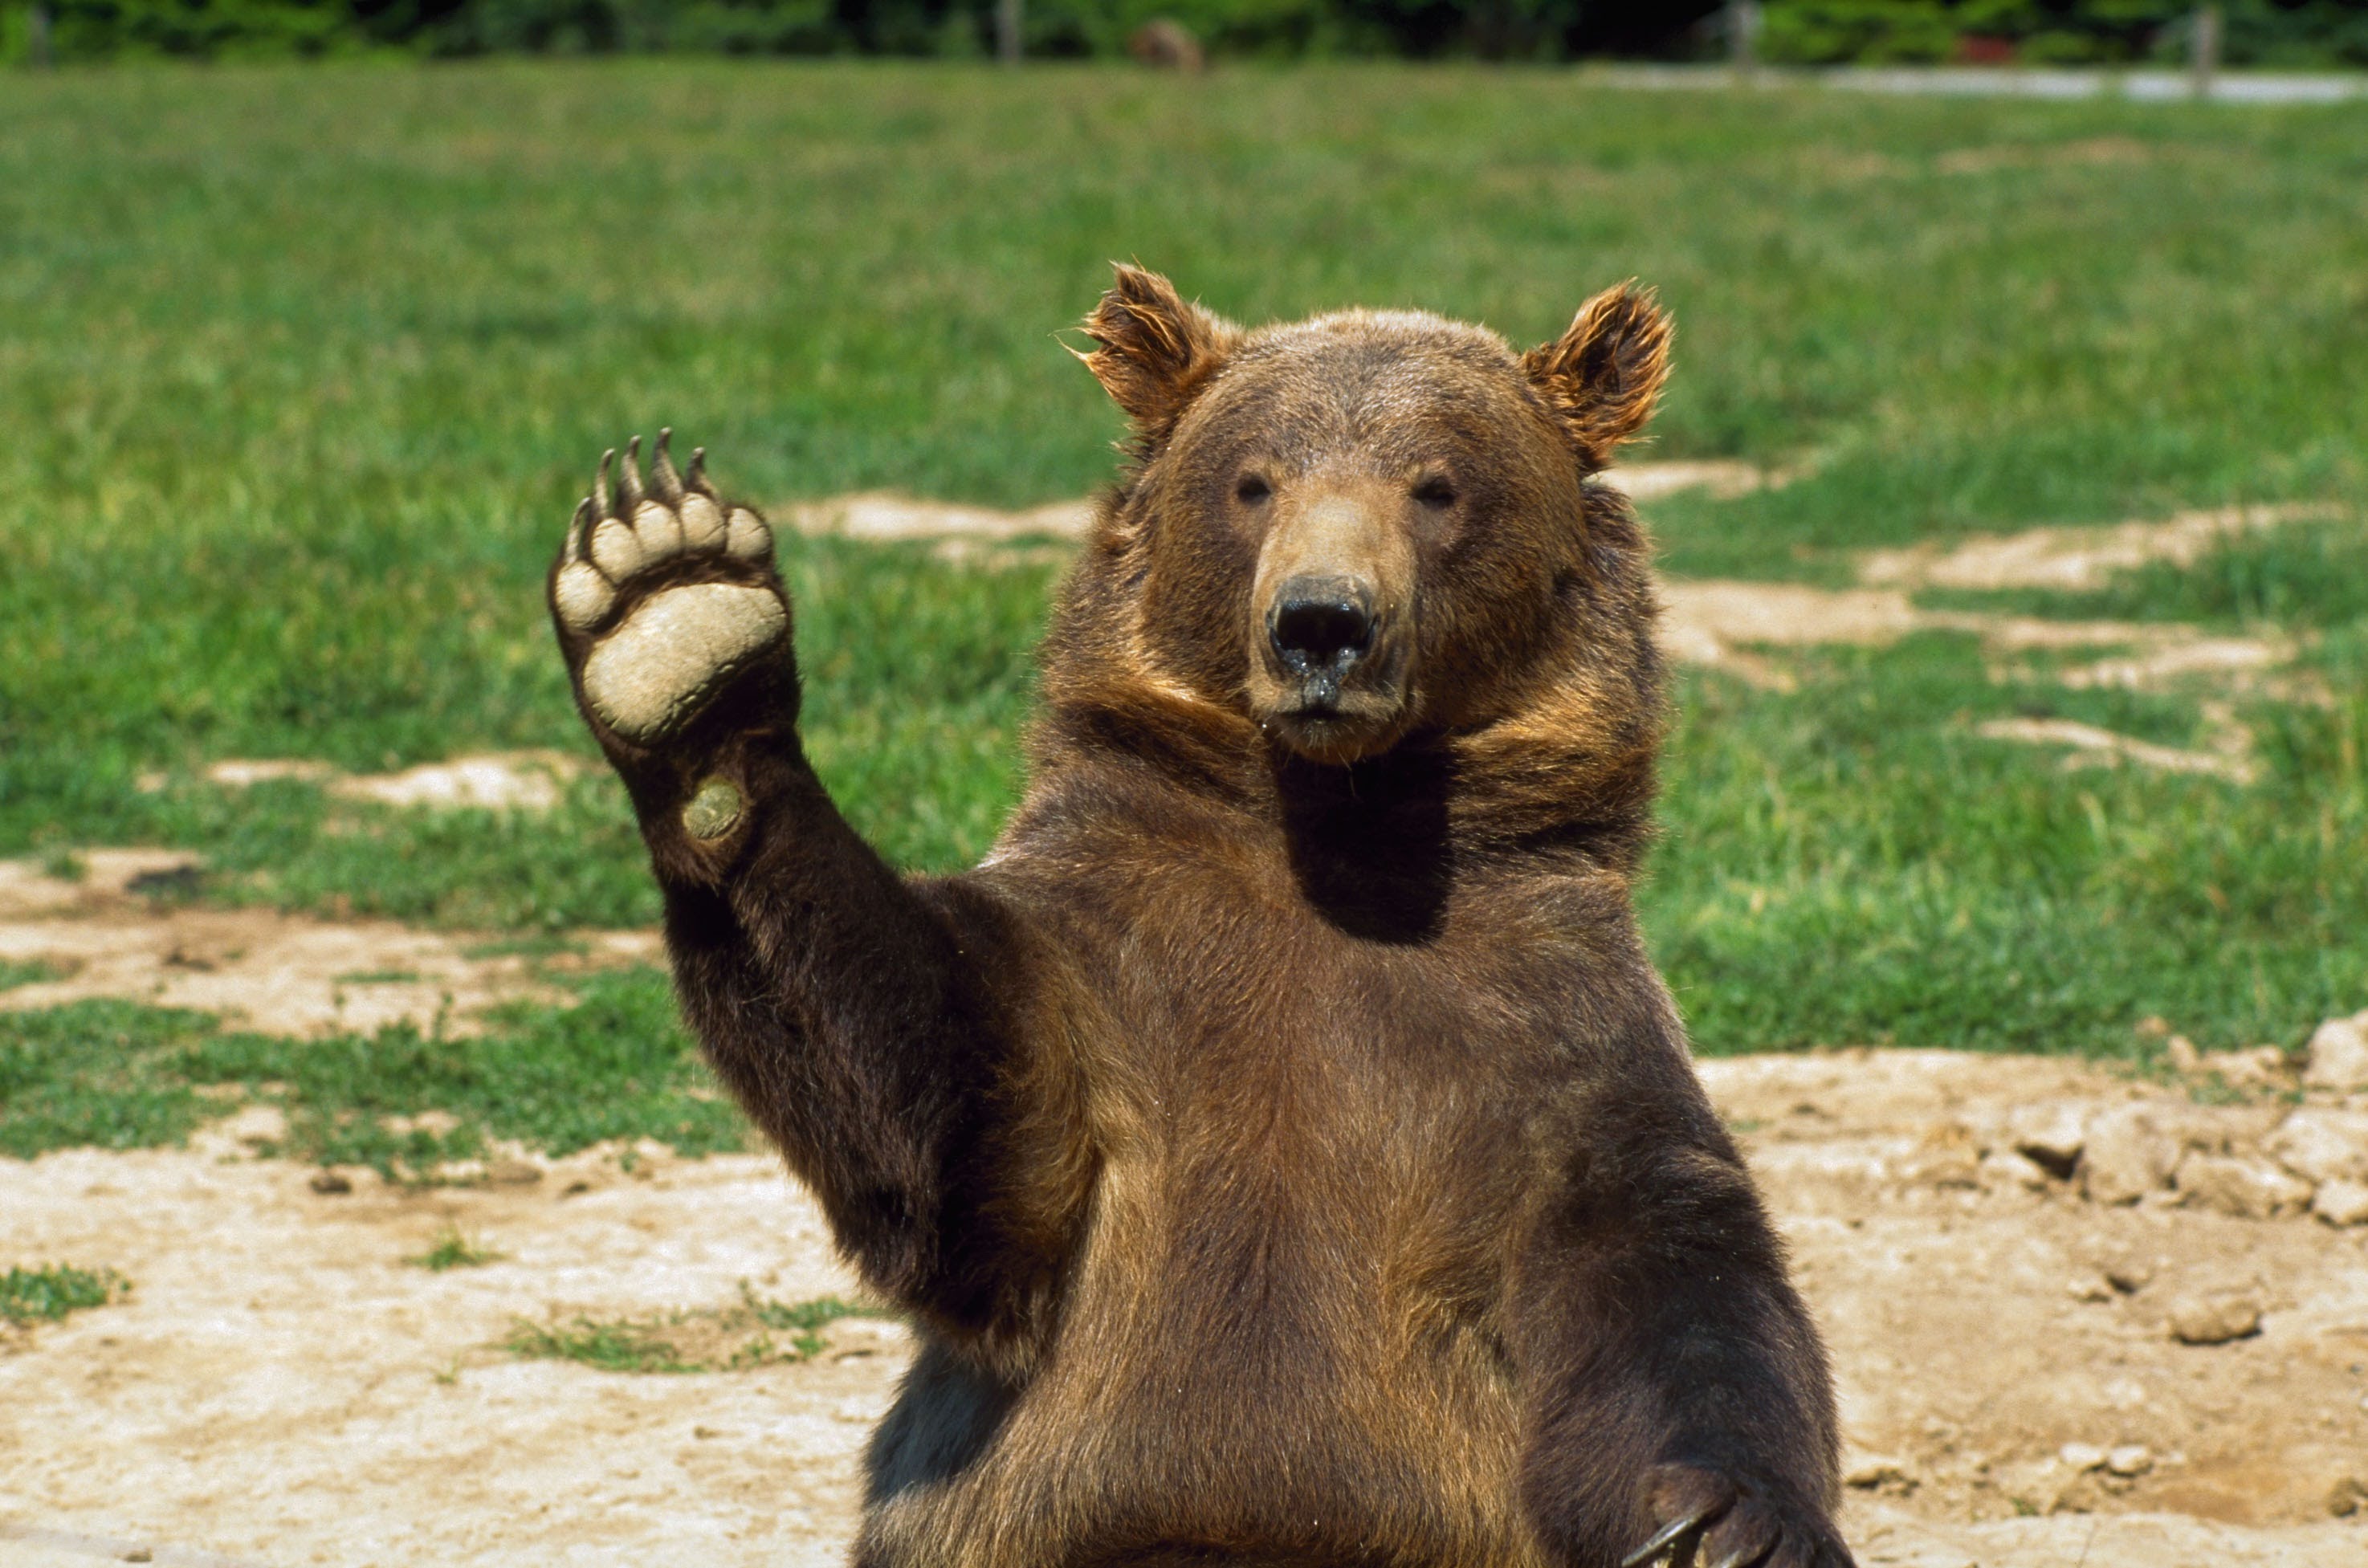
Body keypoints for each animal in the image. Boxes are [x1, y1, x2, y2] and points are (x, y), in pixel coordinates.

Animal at [547, 265, 1853, 1568]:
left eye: (1436, 484)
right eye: (1253, 479)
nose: (1322, 624)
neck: (1336, 837)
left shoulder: (1543, 1023)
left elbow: (1668, 1264)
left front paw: (1725, 1525)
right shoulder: (1110, 970)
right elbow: (947, 1121)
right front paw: (677, 622)